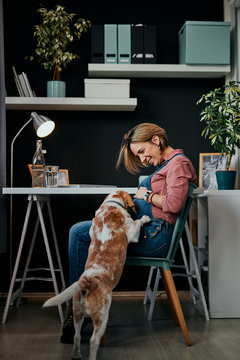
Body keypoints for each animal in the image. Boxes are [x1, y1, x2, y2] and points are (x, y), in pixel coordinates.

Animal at [43, 190, 150, 358]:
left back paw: (76, 355)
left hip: (78, 313)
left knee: (77, 336)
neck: (111, 205)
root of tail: (88, 281)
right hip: (102, 316)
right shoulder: (133, 232)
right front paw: (145, 217)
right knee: (93, 341)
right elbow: (138, 222)